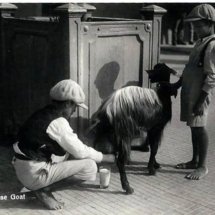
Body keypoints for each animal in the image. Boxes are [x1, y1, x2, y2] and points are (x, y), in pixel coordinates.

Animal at [85, 63, 178, 194]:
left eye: (156, 69)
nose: (149, 75)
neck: (162, 93)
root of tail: (107, 109)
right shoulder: (156, 127)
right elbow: (154, 148)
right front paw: (151, 169)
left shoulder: (152, 129)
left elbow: (153, 146)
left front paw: (155, 164)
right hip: (124, 134)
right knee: (120, 161)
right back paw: (127, 187)